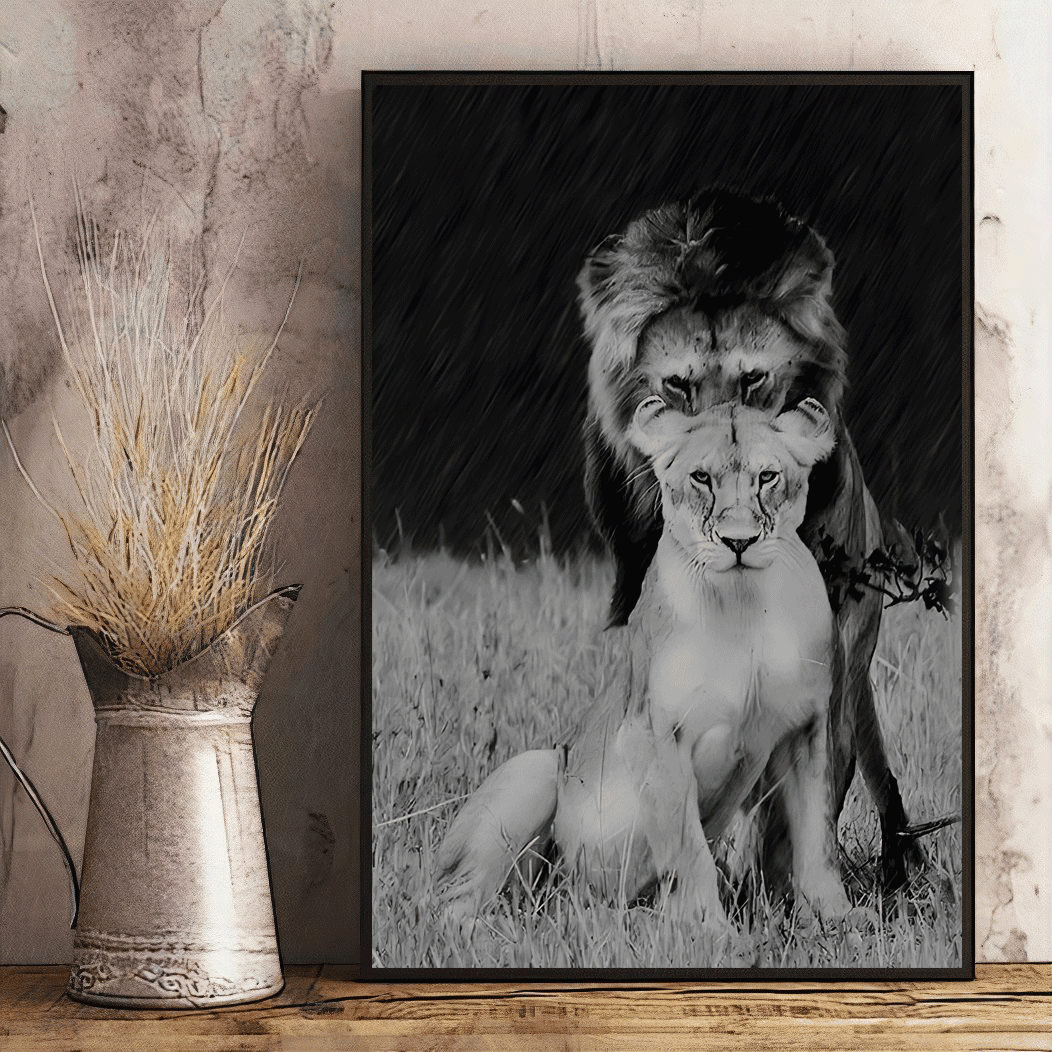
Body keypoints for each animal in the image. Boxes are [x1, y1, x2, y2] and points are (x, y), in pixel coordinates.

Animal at [437, 399, 850, 929]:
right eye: (701, 478)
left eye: (768, 477)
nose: (739, 542)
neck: (742, 603)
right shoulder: (653, 732)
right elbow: (687, 846)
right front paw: (708, 928)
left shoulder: (806, 729)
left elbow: (818, 838)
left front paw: (840, 920)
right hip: (537, 768)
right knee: (452, 901)